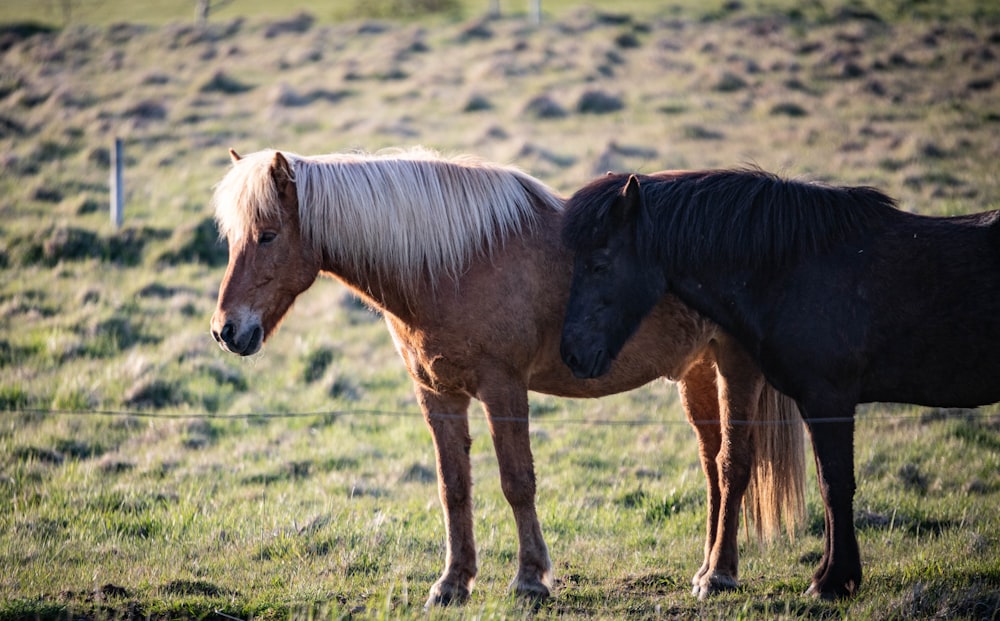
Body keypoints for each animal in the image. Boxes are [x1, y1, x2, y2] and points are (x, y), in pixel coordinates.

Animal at [209, 148, 804, 604]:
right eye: (234, 238)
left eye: (267, 236)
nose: (226, 330)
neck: (451, 264)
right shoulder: (438, 394)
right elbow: (453, 486)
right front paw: (452, 583)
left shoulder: (504, 389)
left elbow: (517, 482)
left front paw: (529, 580)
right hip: (697, 373)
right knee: (711, 467)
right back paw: (705, 569)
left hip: (736, 366)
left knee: (733, 465)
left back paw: (720, 576)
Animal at [560, 167, 1000, 600]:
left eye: (599, 264)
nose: (572, 354)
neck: (795, 269)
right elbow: (824, 484)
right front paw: (831, 574)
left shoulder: (829, 399)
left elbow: (835, 484)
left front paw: (832, 581)